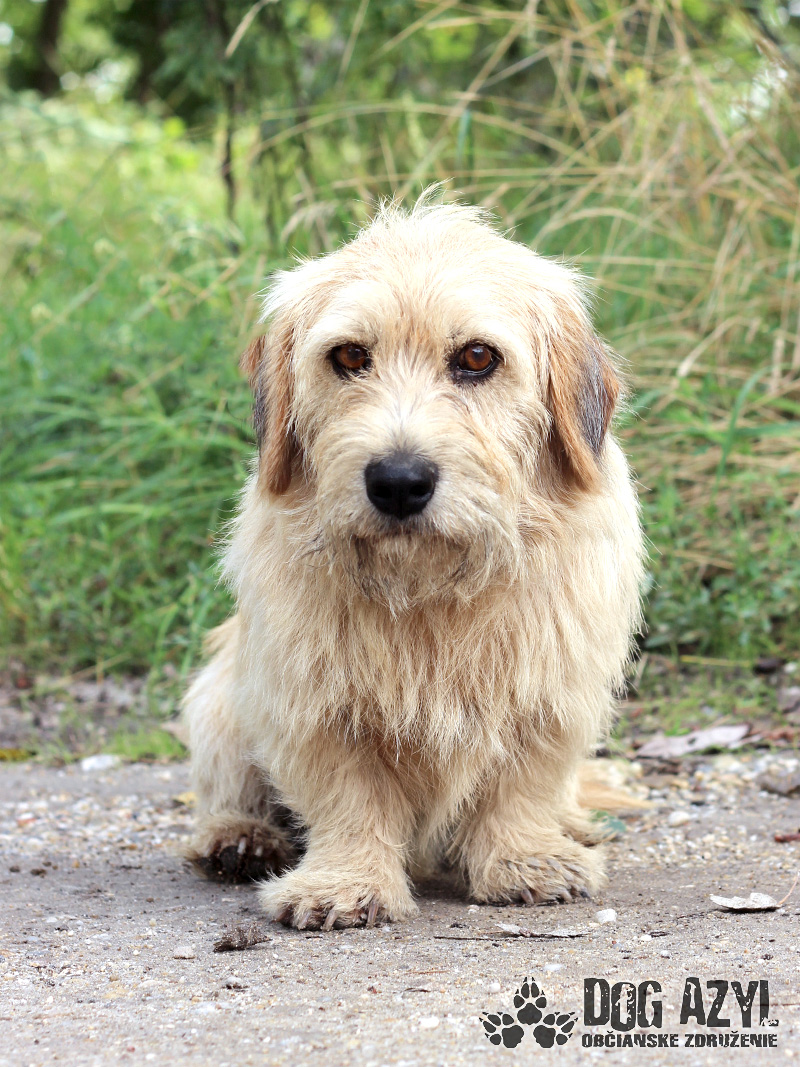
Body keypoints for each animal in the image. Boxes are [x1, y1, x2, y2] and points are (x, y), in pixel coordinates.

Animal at [183, 196, 644, 930]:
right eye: (349, 355)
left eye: (477, 357)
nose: (398, 482)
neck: (427, 589)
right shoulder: (314, 703)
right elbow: (347, 795)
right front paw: (343, 882)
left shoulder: (548, 692)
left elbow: (522, 782)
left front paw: (524, 859)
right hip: (219, 701)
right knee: (229, 787)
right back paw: (237, 837)